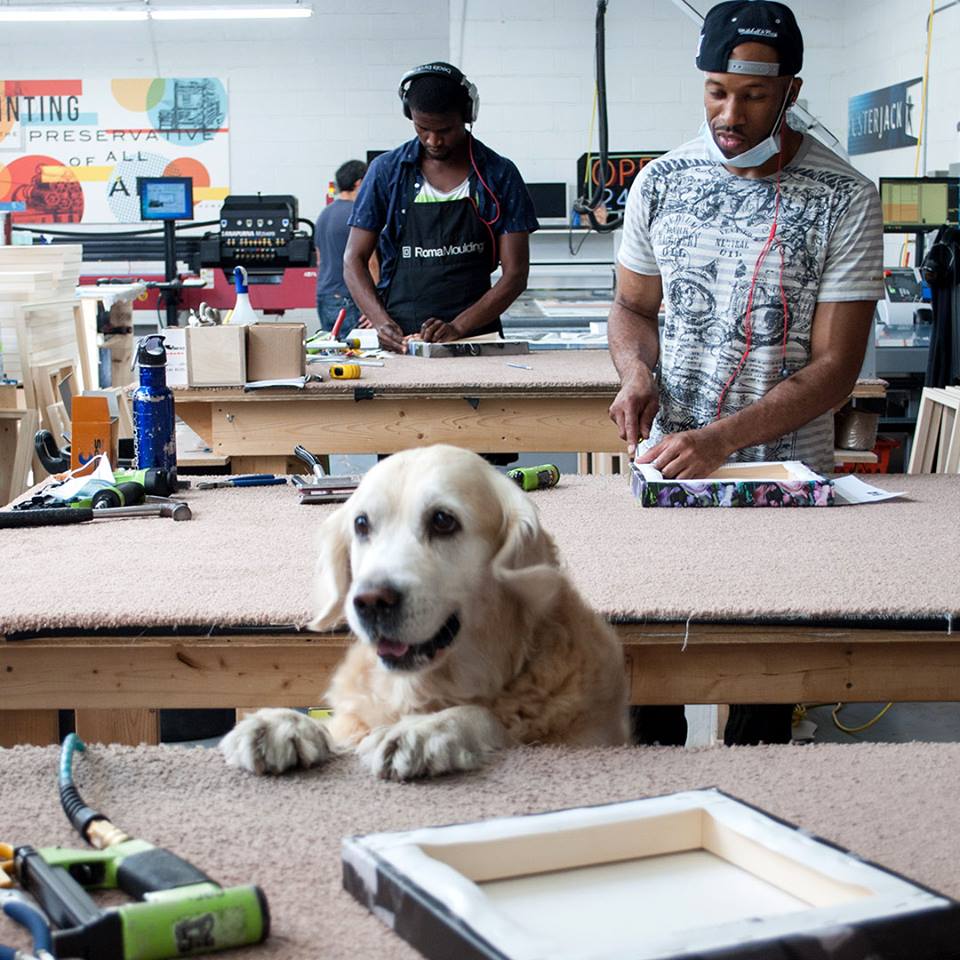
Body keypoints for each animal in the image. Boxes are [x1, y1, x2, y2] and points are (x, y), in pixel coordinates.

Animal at [224, 444, 632, 780]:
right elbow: (339, 728)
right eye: (361, 523)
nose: (370, 601)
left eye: (442, 520)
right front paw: (282, 724)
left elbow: (487, 718)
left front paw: (423, 730)